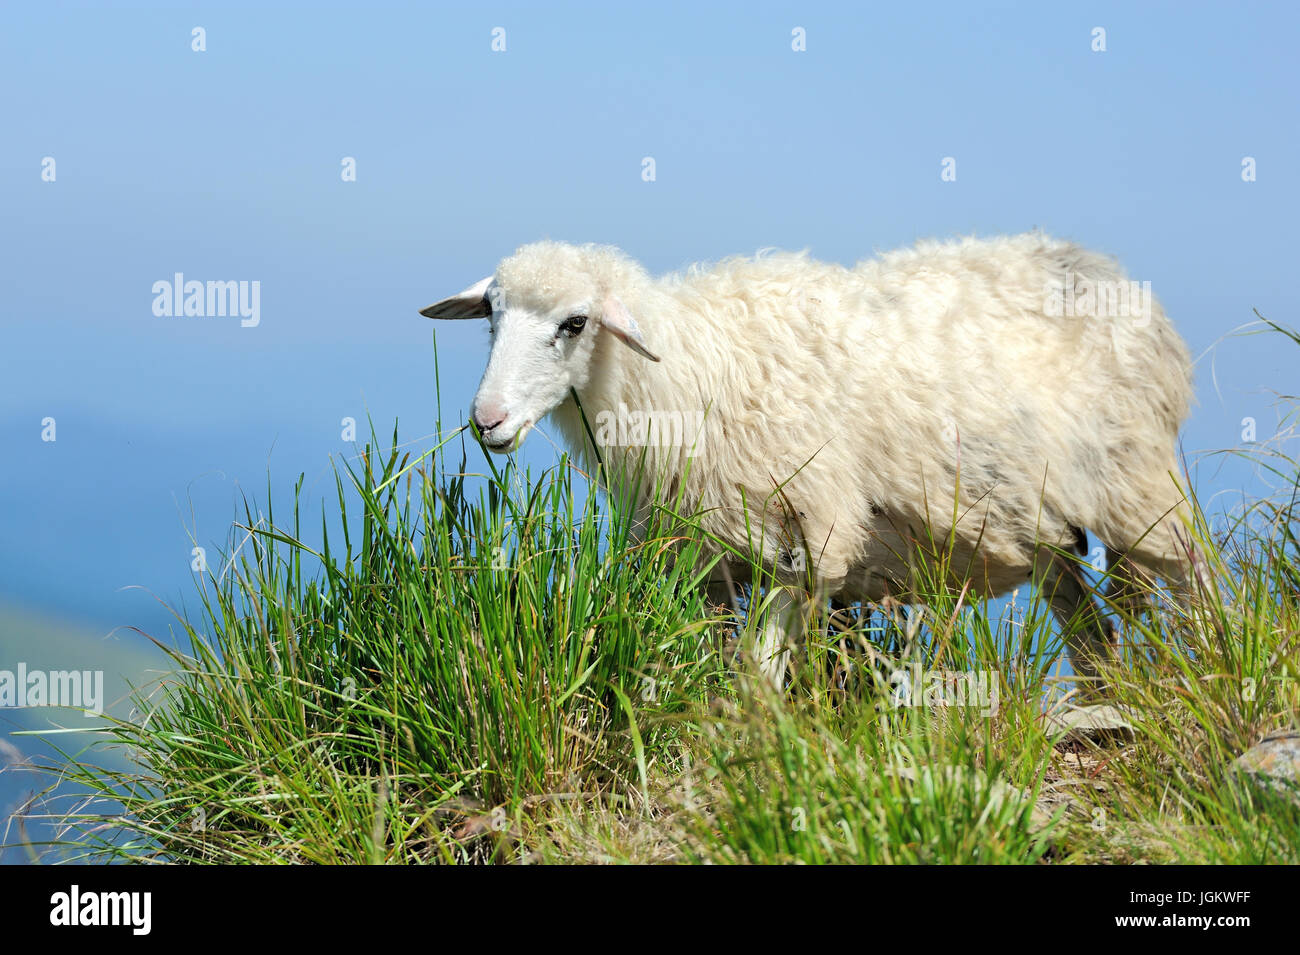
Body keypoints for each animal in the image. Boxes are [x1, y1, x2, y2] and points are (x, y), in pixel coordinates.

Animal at [420, 233, 1198, 685]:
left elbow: (757, 675)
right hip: (1047, 525)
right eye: (491, 317)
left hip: (1139, 484)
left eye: (574, 323)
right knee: (1093, 633)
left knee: (1193, 583)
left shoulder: (806, 536)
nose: (487, 421)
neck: (688, 371)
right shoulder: (704, 555)